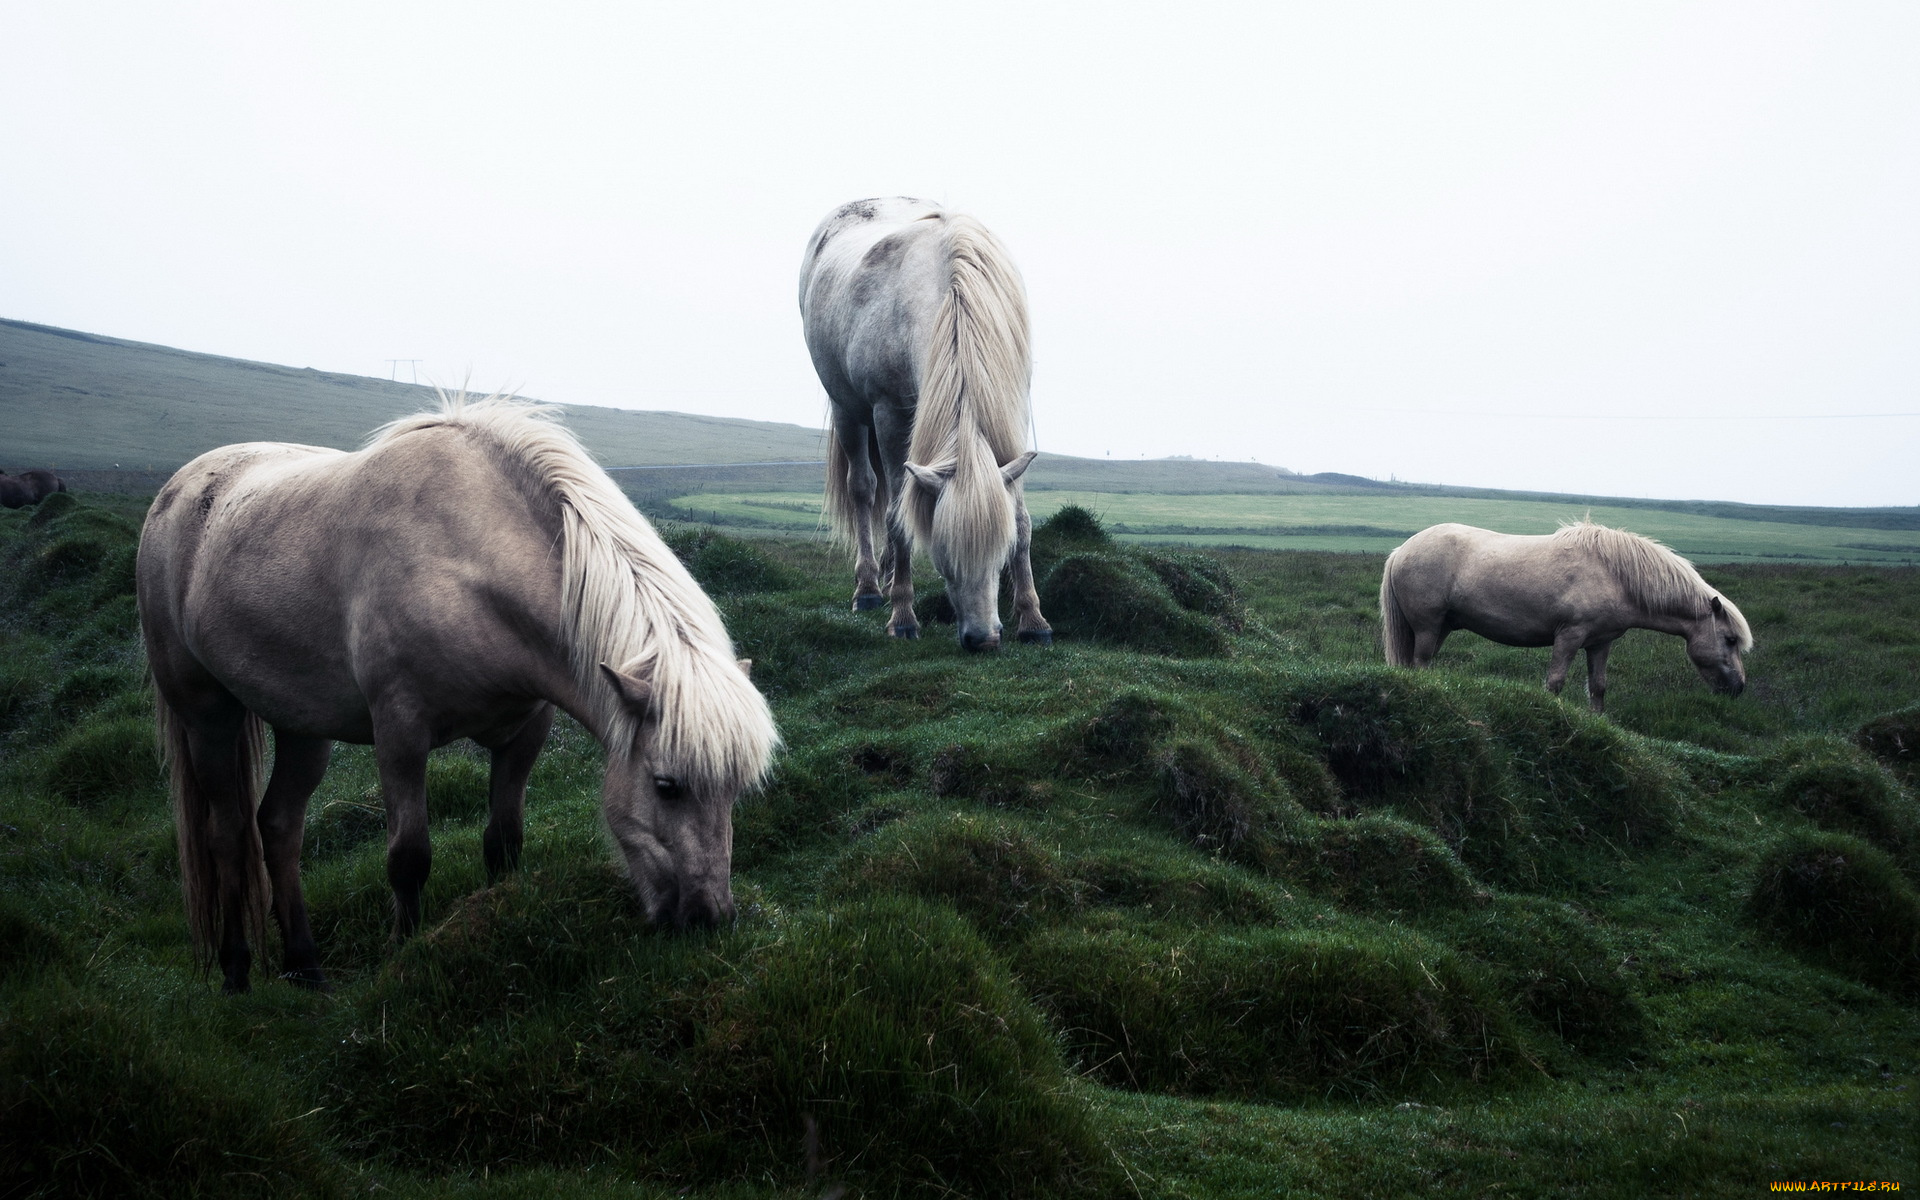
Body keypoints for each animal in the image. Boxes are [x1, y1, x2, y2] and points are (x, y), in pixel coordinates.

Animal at [133, 395, 779, 990]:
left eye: (737, 790)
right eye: (667, 786)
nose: (708, 920)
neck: (463, 562)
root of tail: (176, 490)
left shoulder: (524, 732)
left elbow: (504, 840)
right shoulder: (400, 734)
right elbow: (408, 858)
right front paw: (403, 957)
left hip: (301, 725)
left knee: (278, 827)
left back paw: (306, 968)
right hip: (206, 715)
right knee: (227, 834)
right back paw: (237, 972)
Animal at [802, 195, 1059, 648]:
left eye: (999, 554)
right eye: (944, 560)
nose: (982, 639)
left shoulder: (1011, 414)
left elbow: (1021, 519)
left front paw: (1033, 619)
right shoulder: (889, 414)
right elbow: (896, 518)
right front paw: (903, 616)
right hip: (849, 410)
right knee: (865, 489)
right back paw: (870, 588)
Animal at [1382, 518, 1758, 710]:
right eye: (1730, 639)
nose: (1738, 687)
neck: (1615, 575)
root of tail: (1402, 549)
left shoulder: (1600, 643)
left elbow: (1599, 687)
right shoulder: (1569, 636)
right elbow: (1555, 682)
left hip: (1441, 627)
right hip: (1428, 627)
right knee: (1421, 663)